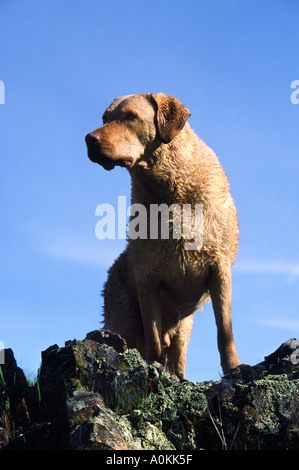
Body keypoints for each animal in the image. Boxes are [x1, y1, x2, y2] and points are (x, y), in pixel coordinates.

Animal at [85, 92, 250, 378]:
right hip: (123, 317)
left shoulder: (220, 268)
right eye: (104, 118)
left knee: (178, 353)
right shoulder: (147, 278)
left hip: (184, 326)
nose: (88, 139)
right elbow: (153, 339)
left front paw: (234, 367)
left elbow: (224, 330)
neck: (170, 191)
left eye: (130, 116)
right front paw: (153, 369)